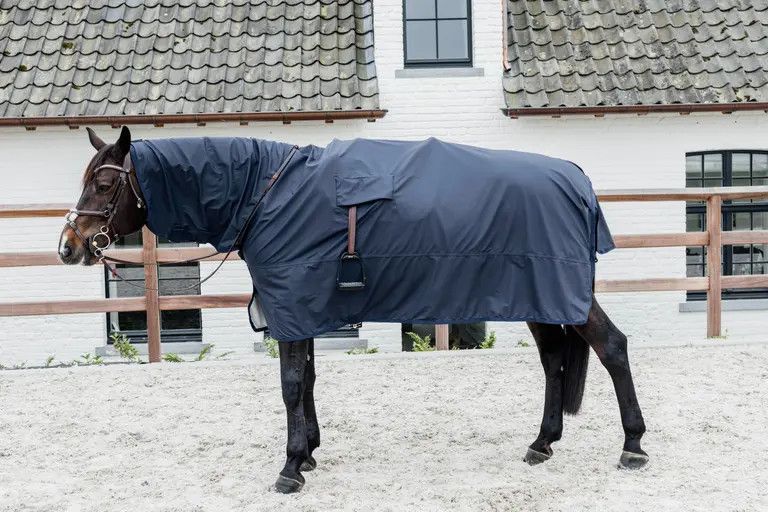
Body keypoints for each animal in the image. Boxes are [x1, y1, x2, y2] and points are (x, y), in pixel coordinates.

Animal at [58, 127, 648, 494]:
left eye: (104, 183)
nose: (68, 246)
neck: (265, 194)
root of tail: (576, 177)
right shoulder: (302, 308)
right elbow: (308, 380)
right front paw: (310, 452)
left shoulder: (292, 305)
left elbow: (291, 384)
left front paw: (291, 467)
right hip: (541, 298)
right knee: (554, 361)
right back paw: (542, 443)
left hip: (559, 292)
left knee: (612, 348)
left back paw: (633, 447)